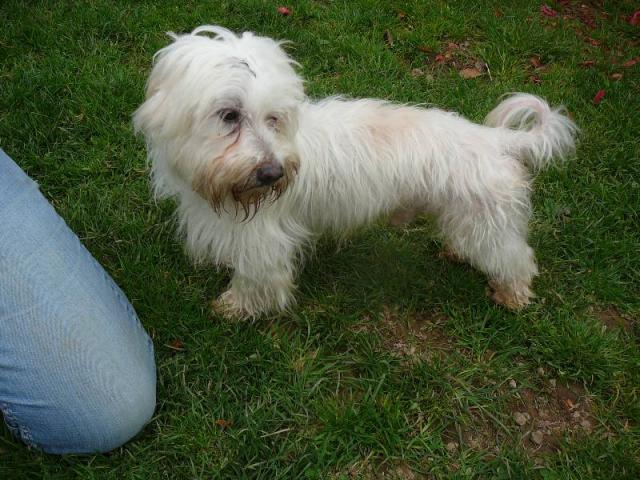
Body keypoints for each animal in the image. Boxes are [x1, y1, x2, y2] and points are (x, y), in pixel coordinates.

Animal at [132, 26, 576, 318]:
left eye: (274, 118)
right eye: (229, 115)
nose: (274, 173)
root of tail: (493, 139)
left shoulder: (264, 244)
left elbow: (257, 282)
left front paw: (236, 307)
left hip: (488, 227)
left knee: (518, 258)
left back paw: (513, 294)